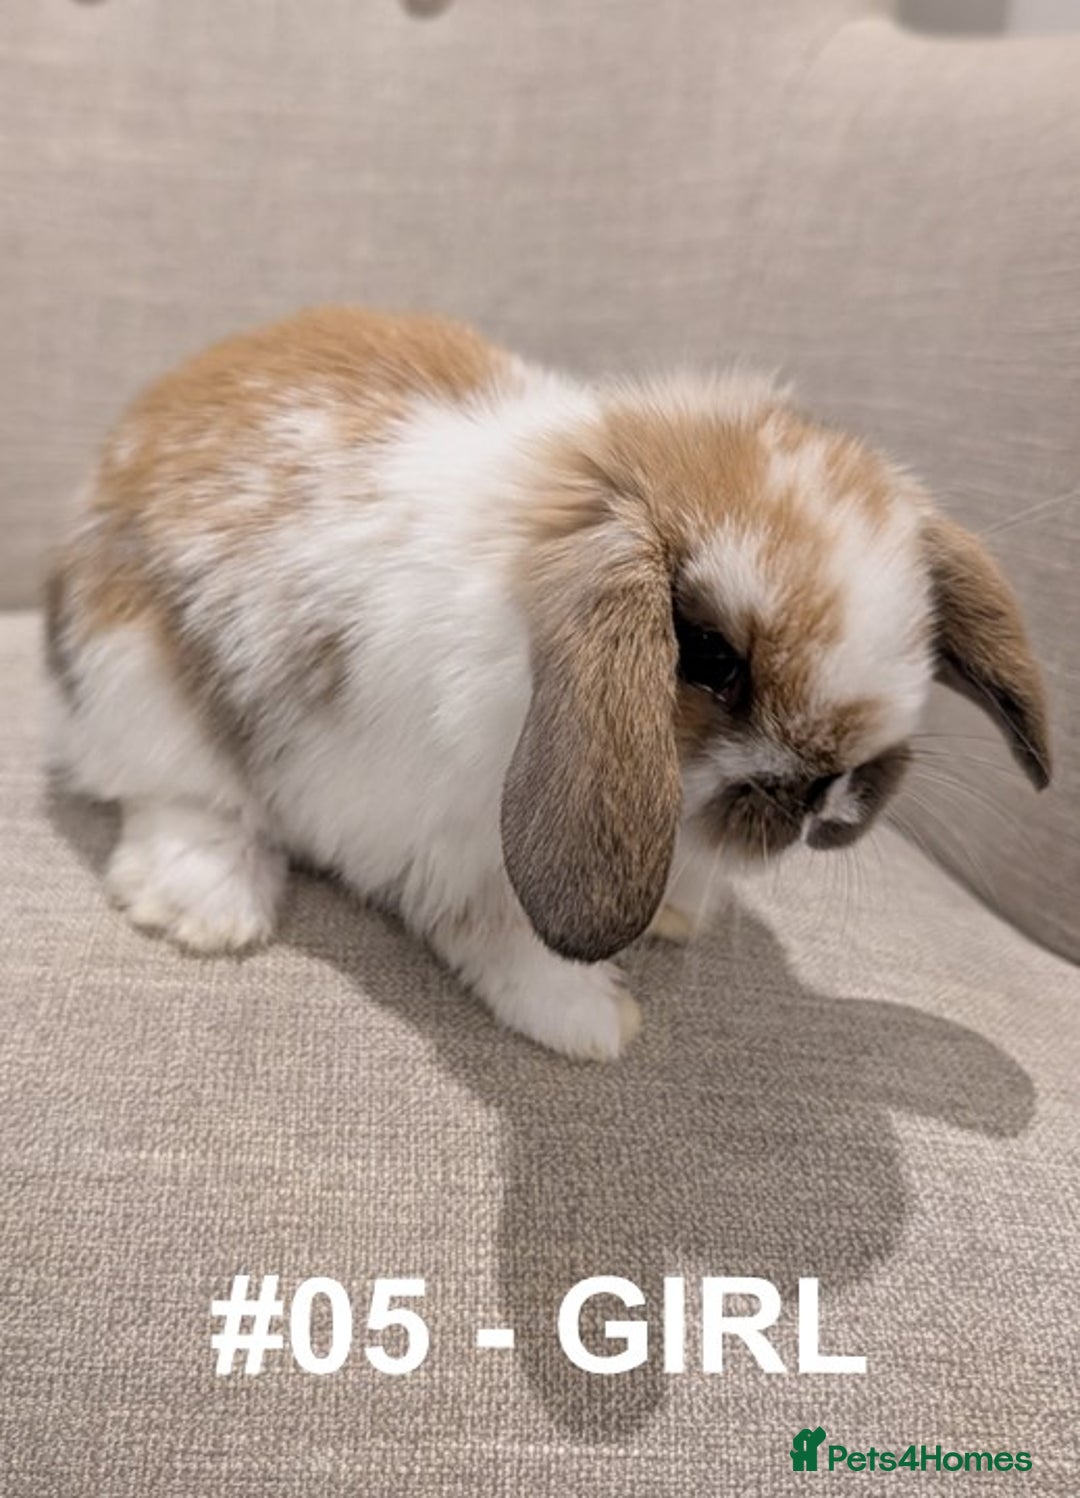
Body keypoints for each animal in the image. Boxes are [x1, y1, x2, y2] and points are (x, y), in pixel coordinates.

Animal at [44, 306, 1051, 1060]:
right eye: (711, 658)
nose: (830, 794)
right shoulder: (456, 845)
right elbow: (509, 940)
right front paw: (595, 1022)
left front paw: (675, 913)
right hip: (140, 682)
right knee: (179, 796)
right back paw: (202, 910)